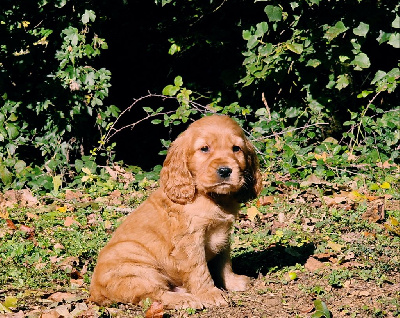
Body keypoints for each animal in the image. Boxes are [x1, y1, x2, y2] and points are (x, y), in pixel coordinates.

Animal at [89, 114, 262, 308]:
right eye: (204, 149)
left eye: (236, 149)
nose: (225, 170)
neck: (211, 197)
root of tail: (95, 292)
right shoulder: (190, 240)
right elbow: (199, 269)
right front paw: (210, 294)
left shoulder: (223, 235)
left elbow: (224, 262)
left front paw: (233, 282)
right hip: (137, 267)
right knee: (155, 296)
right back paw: (186, 299)